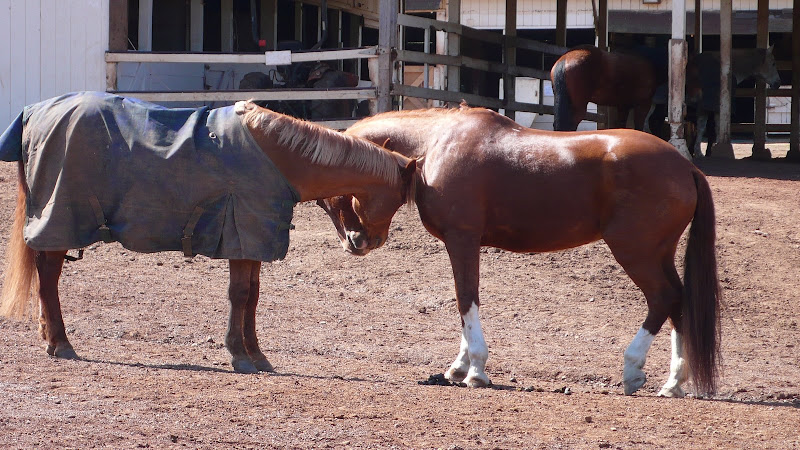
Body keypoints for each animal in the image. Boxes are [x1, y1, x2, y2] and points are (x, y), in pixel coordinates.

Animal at [0, 92, 415, 374]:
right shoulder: (241, 234)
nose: (364, 244)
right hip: (60, 219)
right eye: (397, 198)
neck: (278, 157)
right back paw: (60, 341)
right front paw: (240, 355)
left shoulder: (252, 242)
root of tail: (35, 112)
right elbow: (240, 295)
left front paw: (256, 354)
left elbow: (252, 297)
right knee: (48, 276)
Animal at [318, 105, 722, 397]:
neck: (437, 143)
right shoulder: (465, 244)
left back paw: (633, 368)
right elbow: (466, 301)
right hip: (658, 253)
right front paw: (459, 367)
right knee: (679, 301)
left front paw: (476, 370)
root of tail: (684, 166)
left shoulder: (461, 240)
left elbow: (466, 299)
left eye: (334, 194)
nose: (355, 242)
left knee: (663, 298)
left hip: (636, 251)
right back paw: (673, 382)